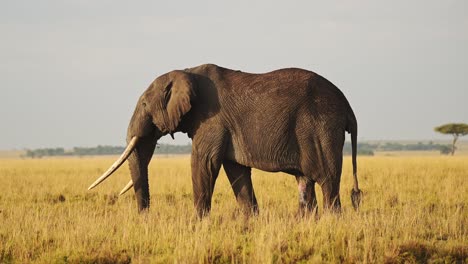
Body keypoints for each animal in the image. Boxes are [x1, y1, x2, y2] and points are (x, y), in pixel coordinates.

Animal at [88, 63, 362, 217]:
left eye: (145, 105)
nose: (145, 218)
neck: (186, 73)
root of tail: (348, 107)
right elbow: (236, 171)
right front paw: (250, 220)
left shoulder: (212, 120)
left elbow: (204, 163)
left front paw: (197, 222)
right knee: (305, 182)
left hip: (322, 128)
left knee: (327, 181)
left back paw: (332, 220)